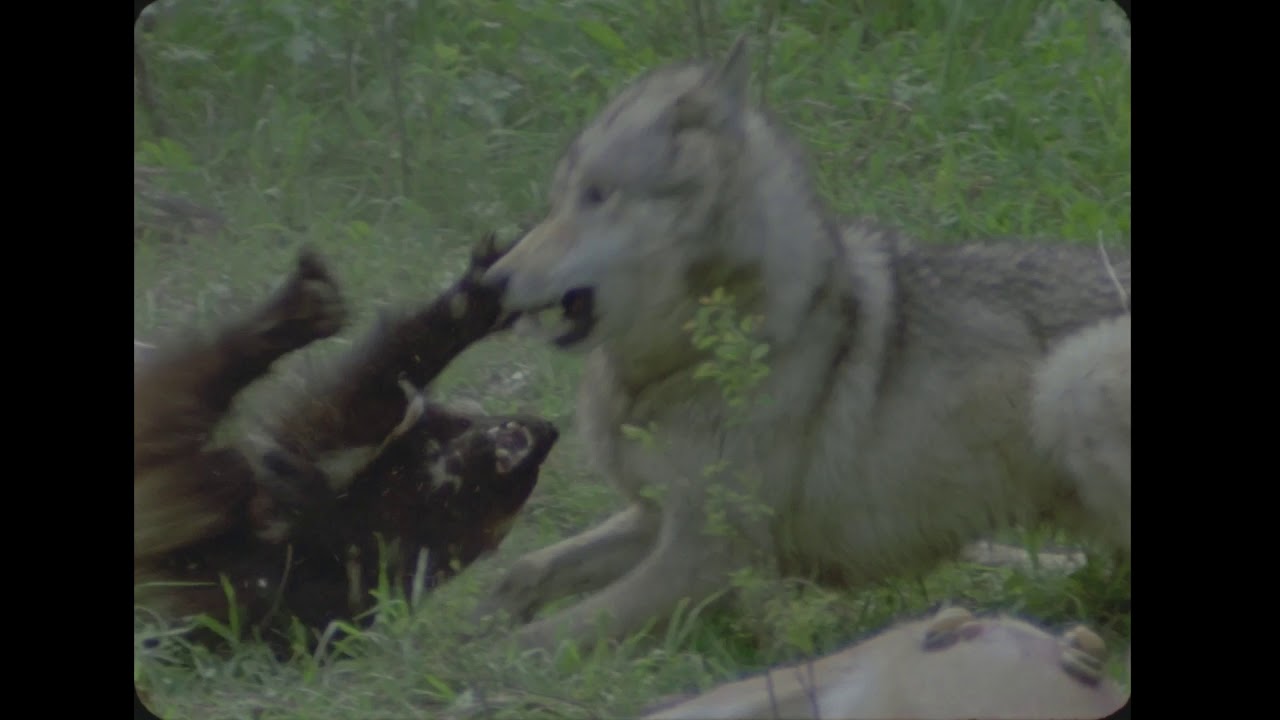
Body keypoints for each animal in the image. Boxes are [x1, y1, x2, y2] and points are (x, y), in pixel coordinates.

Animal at [475, 37, 1131, 651]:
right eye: (557, 201)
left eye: (598, 195)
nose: (489, 283)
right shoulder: (654, 515)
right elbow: (524, 571)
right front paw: (475, 620)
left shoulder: (708, 559)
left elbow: (554, 634)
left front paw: (483, 664)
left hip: (1071, 380)